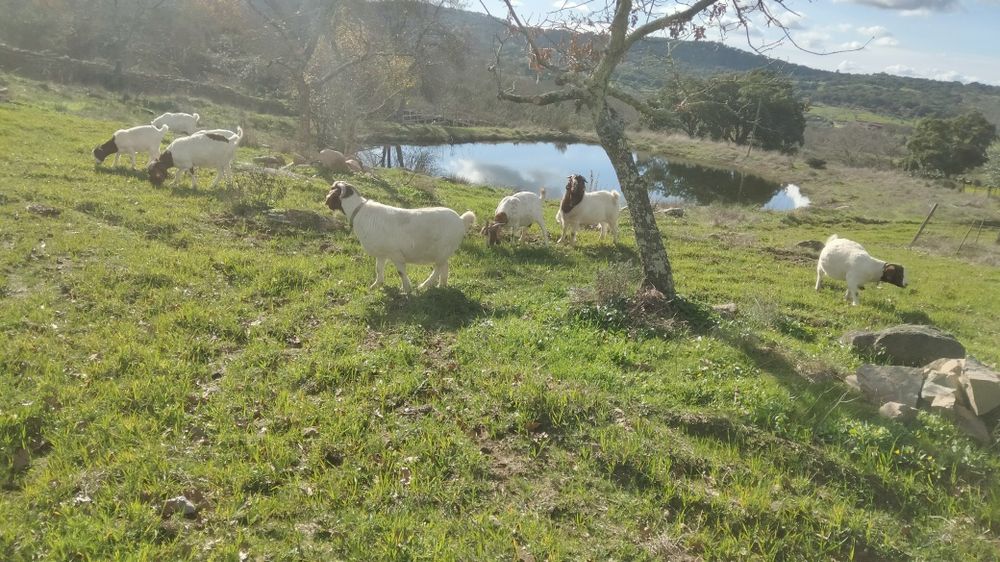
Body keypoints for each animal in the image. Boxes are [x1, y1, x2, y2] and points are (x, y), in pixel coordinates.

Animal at [325, 181, 476, 293]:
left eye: (333, 192)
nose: (326, 202)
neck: (359, 212)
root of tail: (461, 220)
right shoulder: (382, 253)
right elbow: (378, 269)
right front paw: (376, 285)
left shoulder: (395, 254)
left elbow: (401, 272)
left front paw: (406, 290)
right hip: (443, 252)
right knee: (445, 266)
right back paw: (441, 286)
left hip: (442, 250)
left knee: (438, 268)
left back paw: (424, 285)